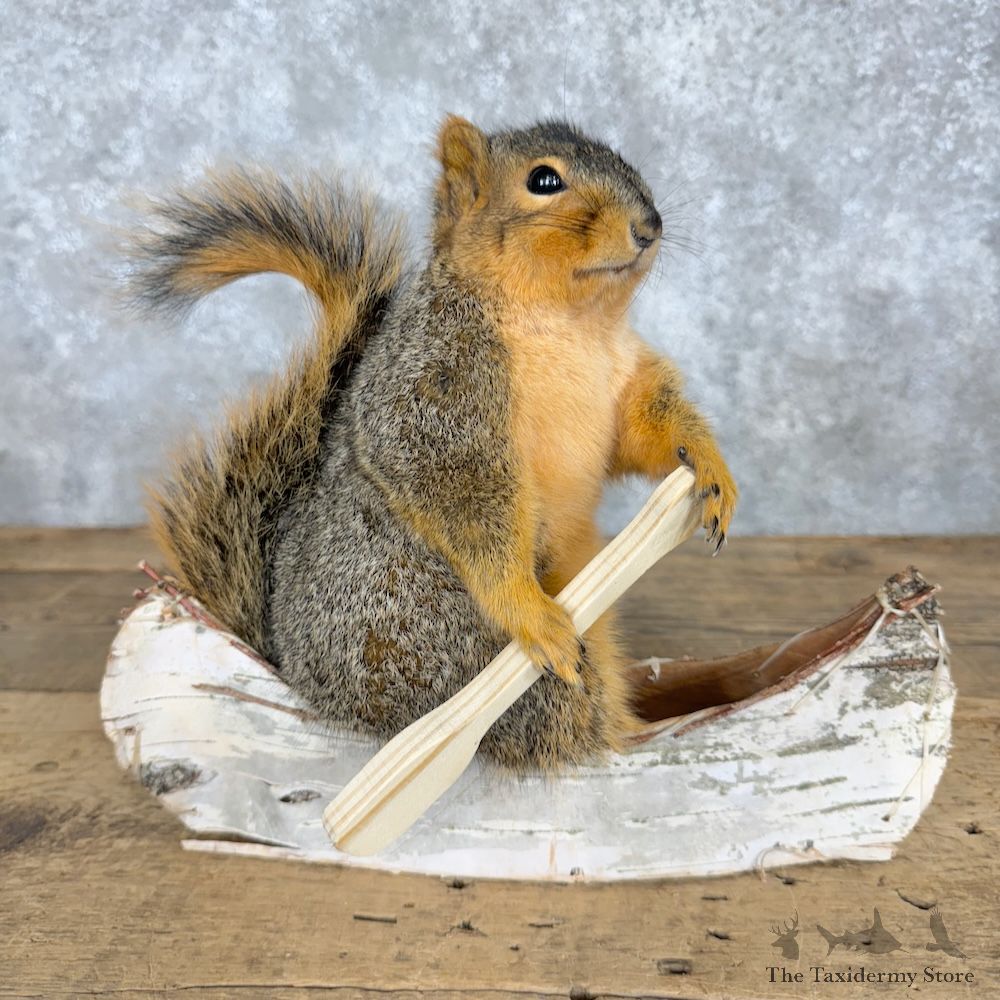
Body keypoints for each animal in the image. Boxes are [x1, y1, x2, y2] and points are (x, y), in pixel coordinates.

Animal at [127, 116, 737, 771]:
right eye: (543, 181)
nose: (649, 227)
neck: (572, 321)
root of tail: (292, 671)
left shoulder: (621, 382)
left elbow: (645, 428)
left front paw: (710, 467)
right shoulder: (438, 389)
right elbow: (460, 493)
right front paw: (528, 609)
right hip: (445, 644)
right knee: (555, 728)